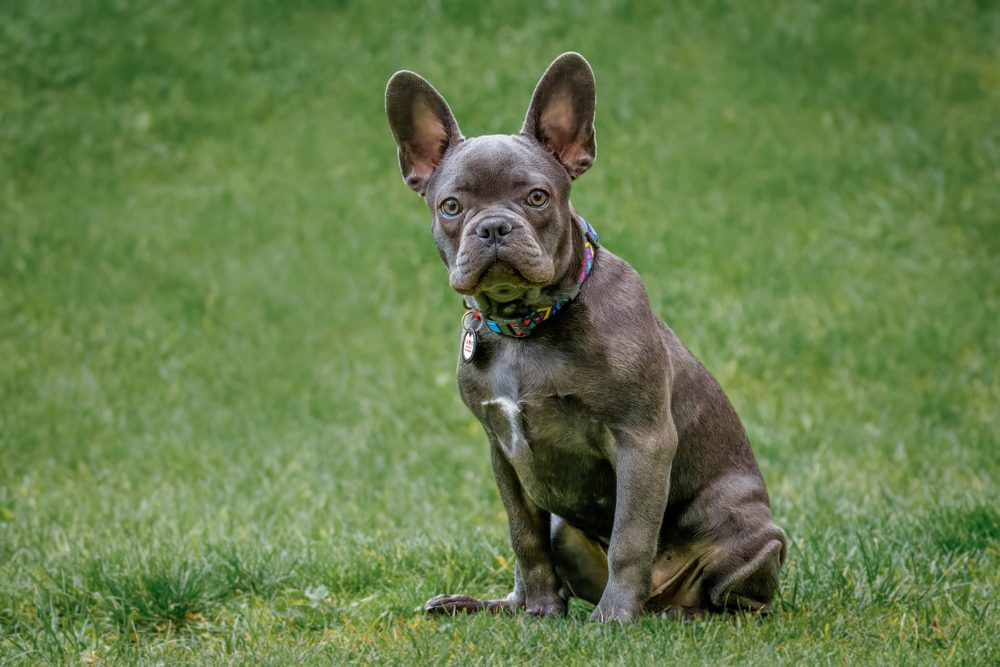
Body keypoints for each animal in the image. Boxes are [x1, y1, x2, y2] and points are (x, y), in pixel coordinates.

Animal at [386, 54, 784, 624]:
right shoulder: (502, 453)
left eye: (537, 197)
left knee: (734, 598)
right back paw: (497, 605)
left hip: (751, 540)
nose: (494, 227)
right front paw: (540, 611)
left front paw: (613, 618)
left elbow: (631, 536)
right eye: (451, 207)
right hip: (562, 525)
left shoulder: (642, 440)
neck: (526, 326)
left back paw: (672, 613)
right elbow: (524, 538)